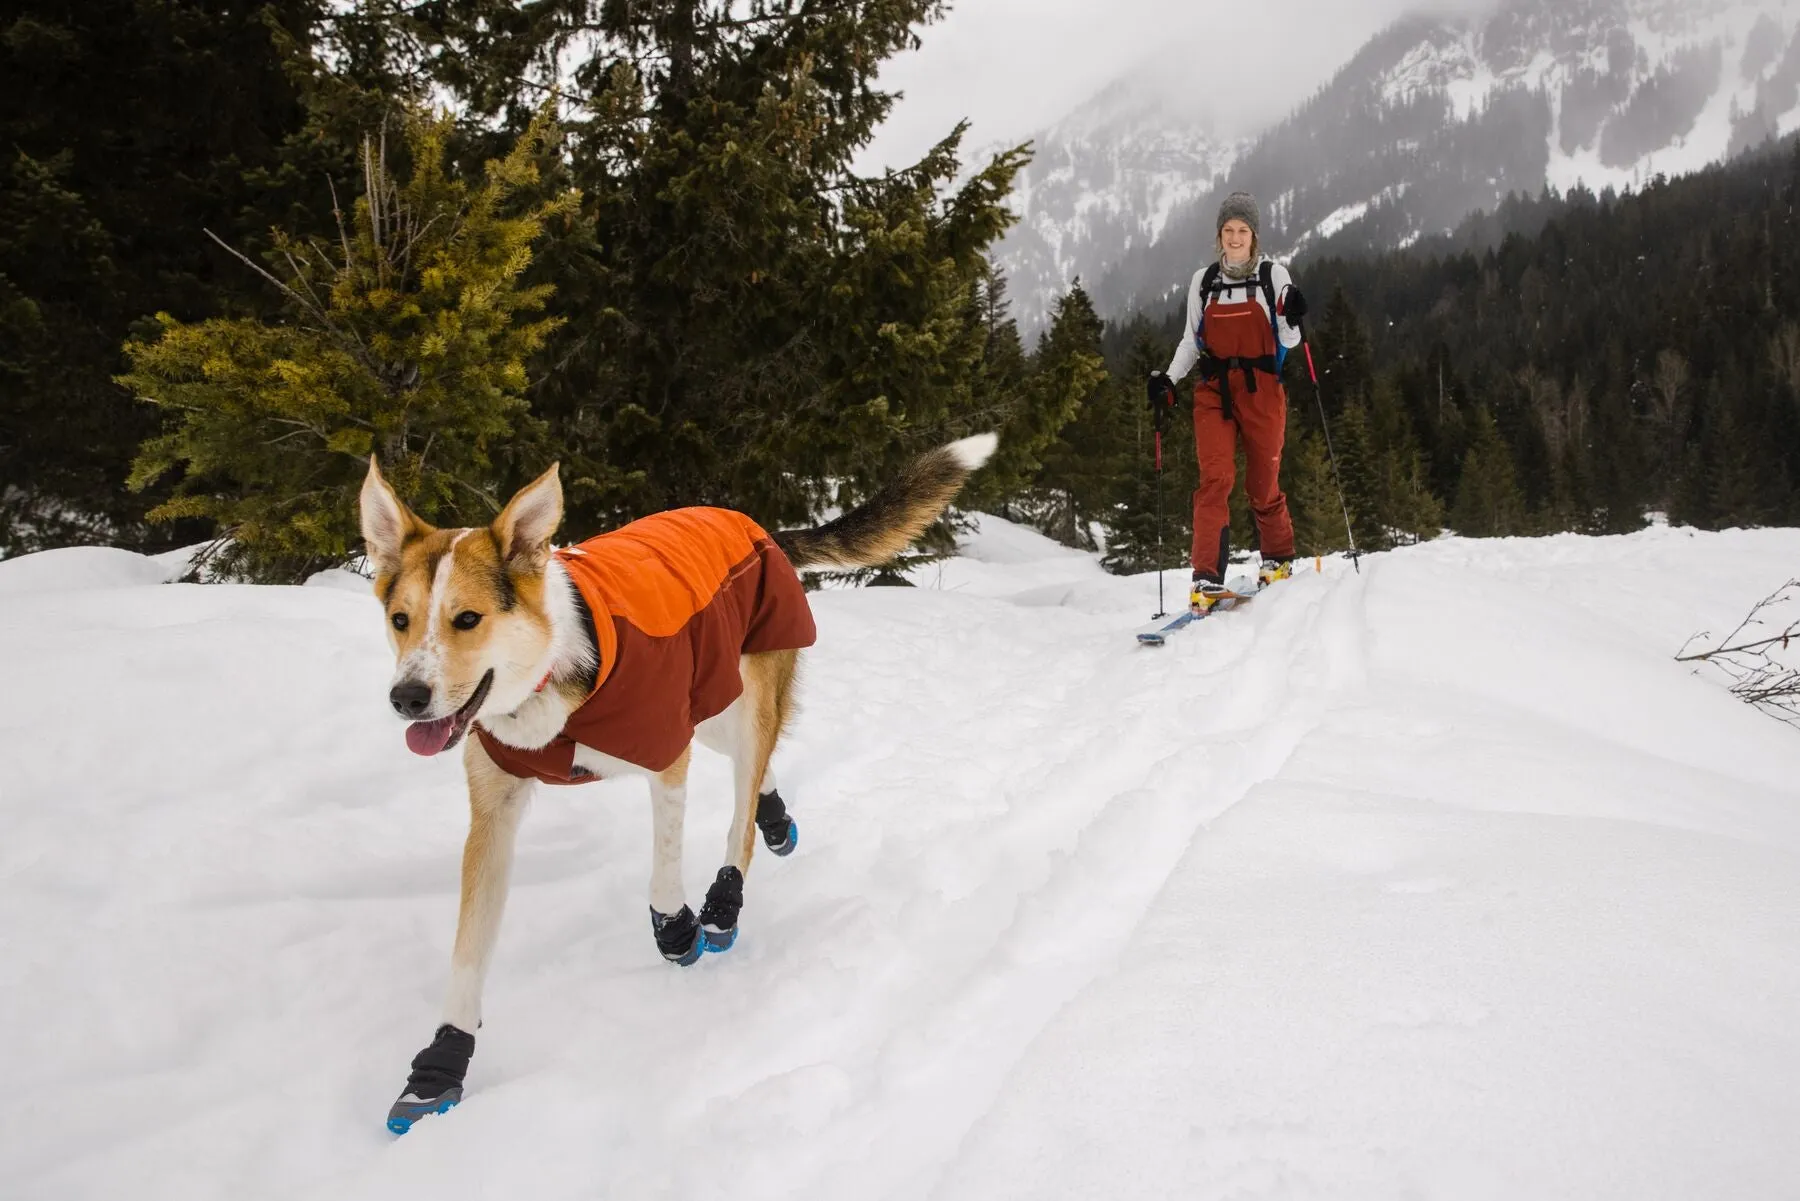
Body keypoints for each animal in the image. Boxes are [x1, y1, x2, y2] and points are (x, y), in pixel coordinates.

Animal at [351, 433, 1000, 1137]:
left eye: (467, 619)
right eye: (400, 619)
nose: (406, 698)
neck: (551, 679)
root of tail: (752, 524)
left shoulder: (667, 752)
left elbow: (664, 871)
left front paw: (678, 930)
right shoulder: (495, 809)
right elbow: (468, 953)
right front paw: (440, 1067)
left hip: (738, 700)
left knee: (742, 807)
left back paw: (728, 896)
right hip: (714, 705)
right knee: (755, 770)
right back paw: (776, 817)